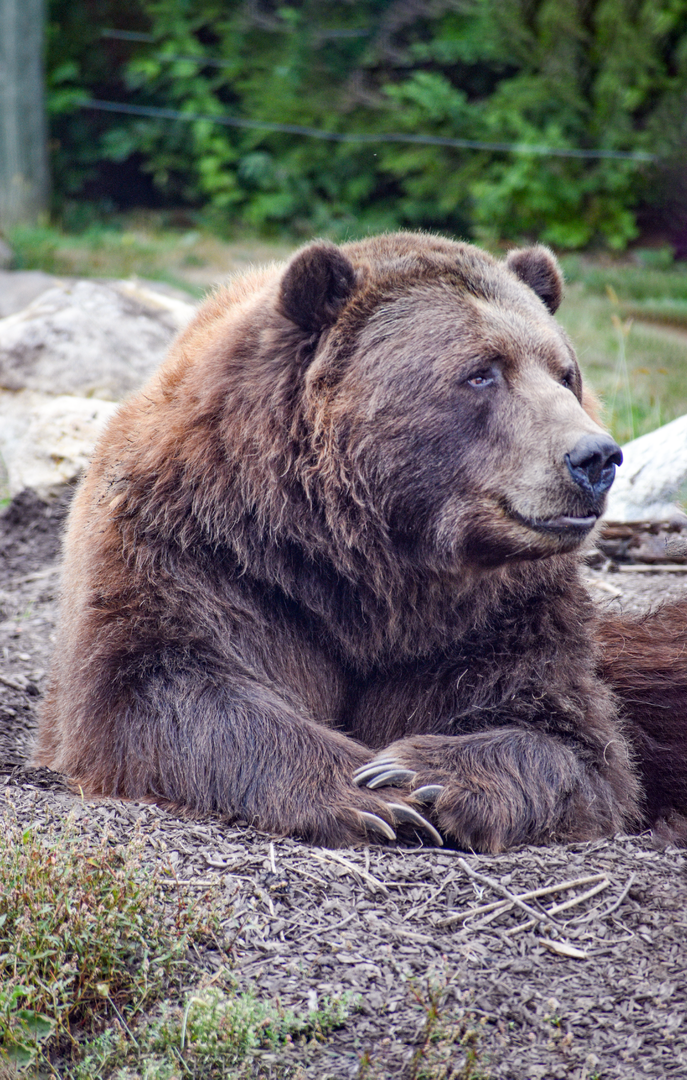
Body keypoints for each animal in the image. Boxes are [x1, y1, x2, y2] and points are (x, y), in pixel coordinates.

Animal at [33, 231, 687, 851]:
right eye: (481, 371)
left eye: (564, 373)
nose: (595, 457)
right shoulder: (197, 556)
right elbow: (156, 688)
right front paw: (371, 794)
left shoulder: (496, 617)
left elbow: (573, 740)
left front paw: (421, 772)